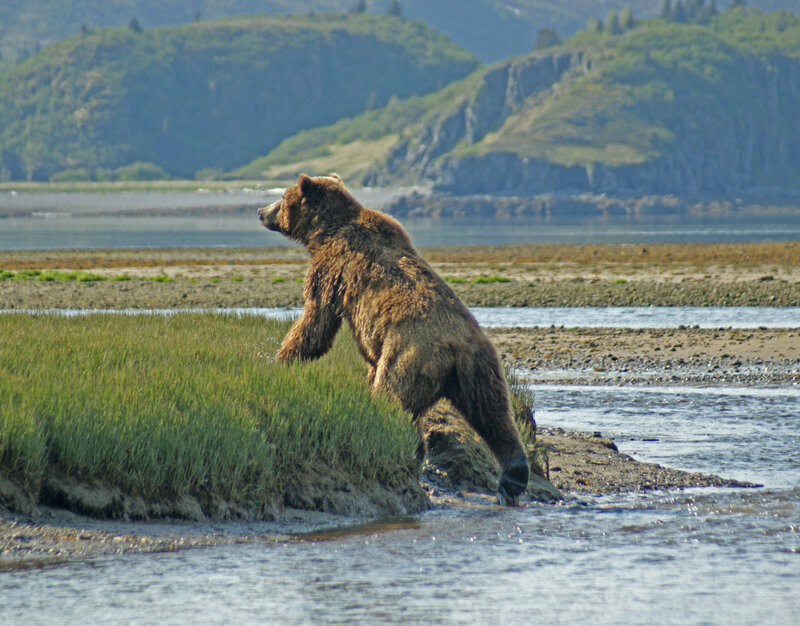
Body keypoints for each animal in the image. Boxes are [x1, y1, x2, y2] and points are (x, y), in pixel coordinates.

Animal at [258, 173, 529, 505]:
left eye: (283, 197)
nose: (261, 211)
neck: (325, 231)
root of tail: (455, 351)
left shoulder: (332, 270)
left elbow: (316, 321)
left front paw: (282, 357)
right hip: (482, 368)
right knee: (494, 414)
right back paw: (513, 475)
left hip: (408, 355)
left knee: (393, 398)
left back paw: (402, 444)